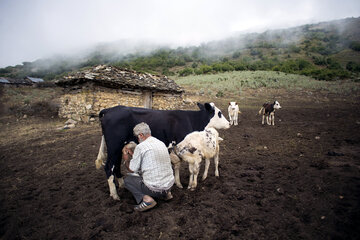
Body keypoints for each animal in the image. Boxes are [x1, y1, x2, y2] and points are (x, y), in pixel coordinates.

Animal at [95, 102, 231, 200]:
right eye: (219, 113)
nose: (229, 123)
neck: (192, 119)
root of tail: (109, 110)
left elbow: (179, 166)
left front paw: (180, 183)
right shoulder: (180, 147)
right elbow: (181, 165)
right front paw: (183, 184)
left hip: (118, 150)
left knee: (116, 167)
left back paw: (122, 185)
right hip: (114, 148)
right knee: (109, 167)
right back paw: (115, 195)